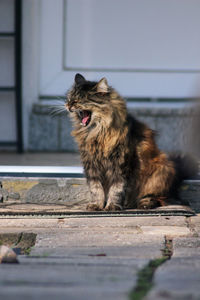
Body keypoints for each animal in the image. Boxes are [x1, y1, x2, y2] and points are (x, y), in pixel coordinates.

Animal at [66, 73, 197, 211]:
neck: (97, 133)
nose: (68, 106)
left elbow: (116, 189)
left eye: (79, 100)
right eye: (69, 98)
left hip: (161, 171)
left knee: (160, 198)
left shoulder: (121, 163)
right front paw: (97, 205)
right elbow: (96, 188)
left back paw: (144, 204)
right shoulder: (91, 165)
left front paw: (112, 206)